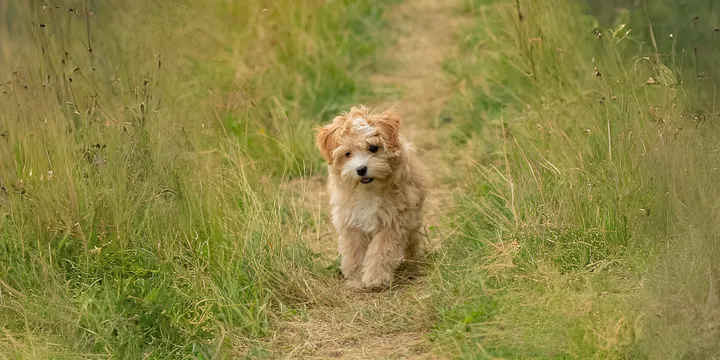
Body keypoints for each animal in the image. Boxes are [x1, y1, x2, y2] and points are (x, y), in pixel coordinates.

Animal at [316, 106, 428, 290]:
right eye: (347, 154)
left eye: (373, 148)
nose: (361, 169)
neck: (368, 191)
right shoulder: (351, 222)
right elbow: (354, 250)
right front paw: (355, 277)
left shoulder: (394, 220)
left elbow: (382, 249)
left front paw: (375, 278)